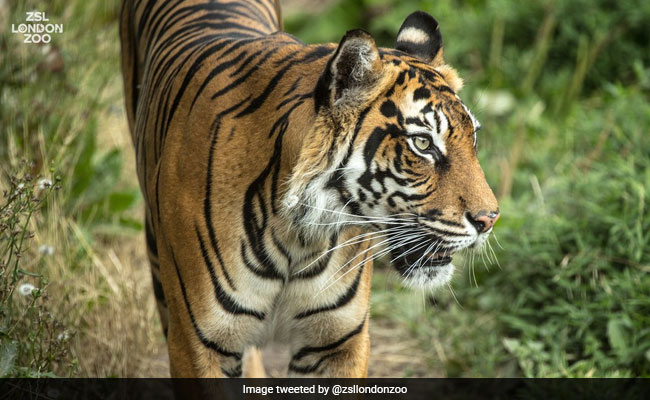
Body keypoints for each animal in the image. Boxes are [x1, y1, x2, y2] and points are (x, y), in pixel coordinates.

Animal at [119, 0, 499, 378]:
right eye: (422, 143)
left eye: (473, 139)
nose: (489, 220)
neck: (297, 235)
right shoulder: (198, 344)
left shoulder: (338, 342)